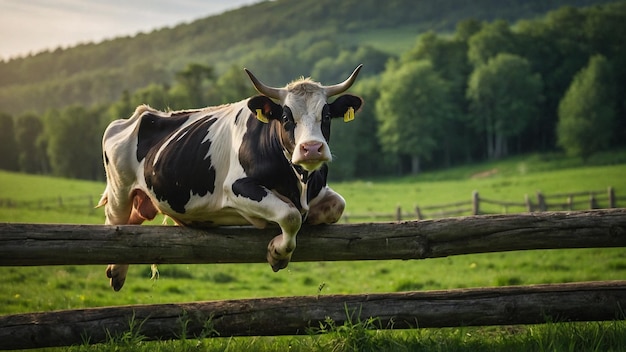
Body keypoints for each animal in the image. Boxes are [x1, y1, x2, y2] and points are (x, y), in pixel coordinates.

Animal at [97, 65, 360, 292]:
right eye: (286, 117)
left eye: (327, 116)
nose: (312, 148)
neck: (300, 183)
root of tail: (138, 115)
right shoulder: (236, 188)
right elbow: (290, 215)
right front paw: (277, 253)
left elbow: (337, 205)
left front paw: (309, 218)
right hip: (119, 192)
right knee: (116, 228)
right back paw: (115, 270)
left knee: (131, 226)